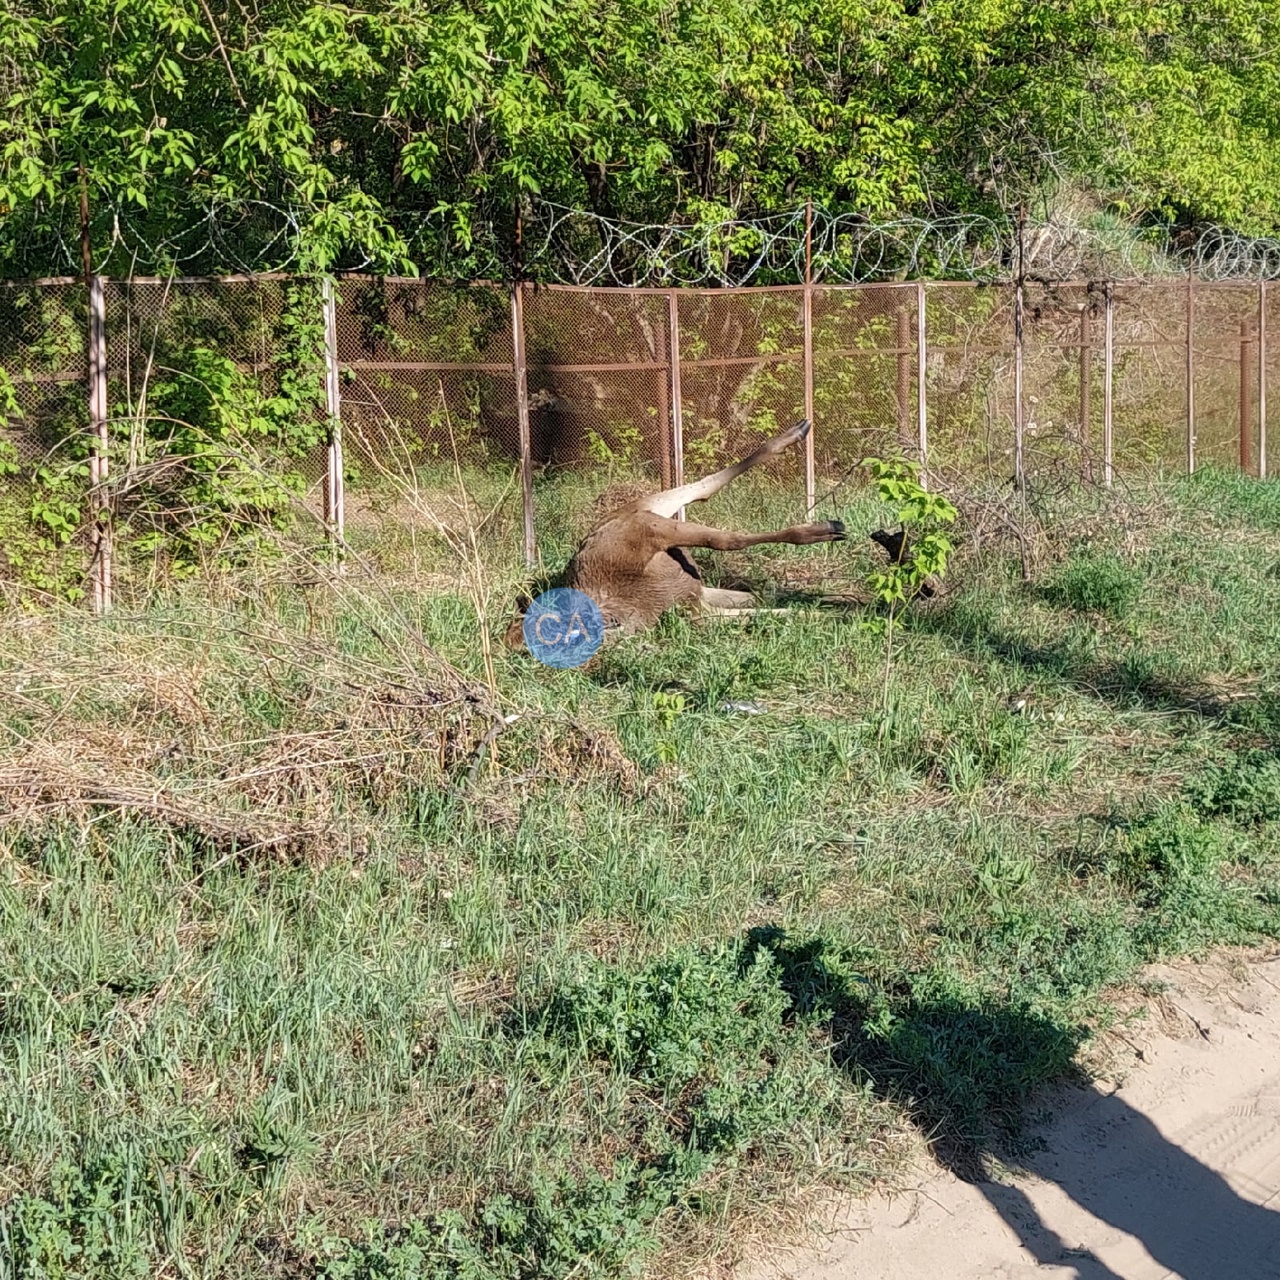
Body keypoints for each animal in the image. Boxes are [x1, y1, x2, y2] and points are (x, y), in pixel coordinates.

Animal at [504, 419, 845, 649]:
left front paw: (824, 532)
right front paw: (839, 613)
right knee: (756, 593)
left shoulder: (647, 529)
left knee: (702, 489)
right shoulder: (697, 608)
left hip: (646, 509)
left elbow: (725, 539)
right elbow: (772, 611)